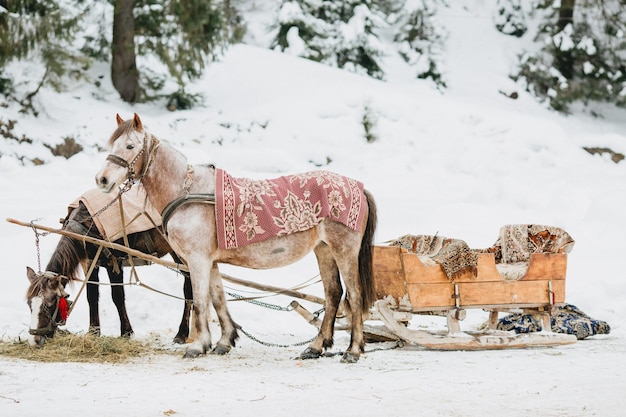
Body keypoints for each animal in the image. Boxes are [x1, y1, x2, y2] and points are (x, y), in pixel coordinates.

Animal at [25, 200, 193, 346]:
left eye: (49, 305)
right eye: (29, 304)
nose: (35, 340)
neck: (87, 226)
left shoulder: (115, 262)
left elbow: (117, 296)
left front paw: (126, 332)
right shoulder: (90, 263)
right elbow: (92, 296)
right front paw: (93, 331)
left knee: (189, 288)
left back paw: (182, 333)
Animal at [92, 113, 376, 360]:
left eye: (130, 145)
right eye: (112, 144)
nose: (102, 179)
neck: (188, 192)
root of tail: (358, 187)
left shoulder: (197, 261)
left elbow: (200, 301)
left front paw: (198, 345)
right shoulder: (210, 262)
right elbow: (218, 299)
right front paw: (224, 341)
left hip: (344, 251)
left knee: (354, 296)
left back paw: (353, 350)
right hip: (324, 249)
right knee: (333, 294)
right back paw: (315, 347)